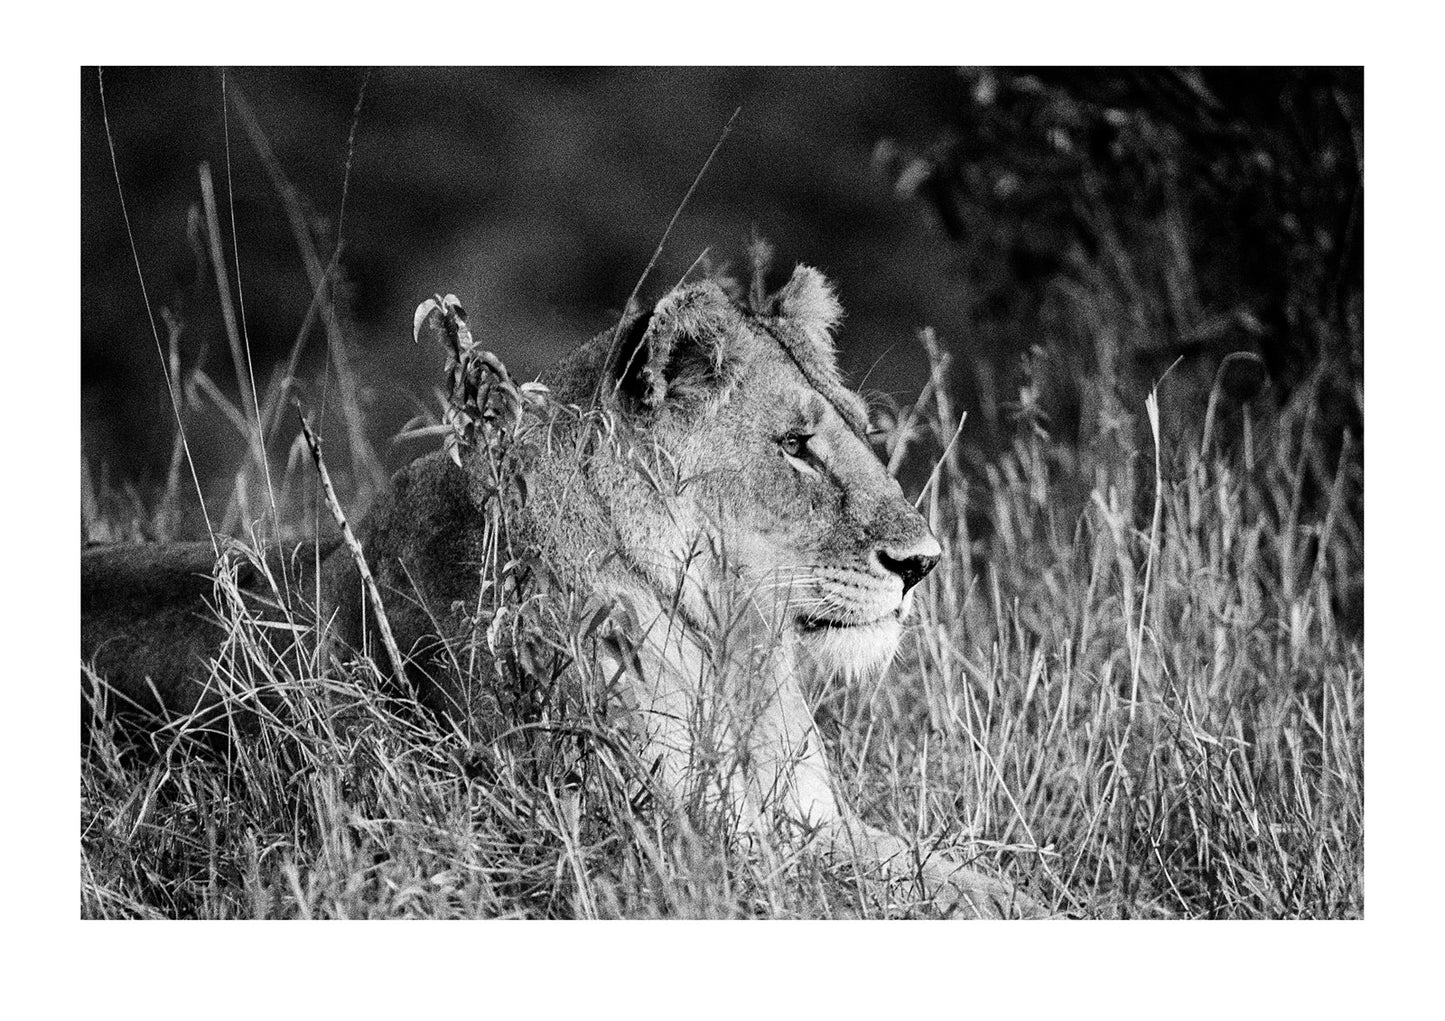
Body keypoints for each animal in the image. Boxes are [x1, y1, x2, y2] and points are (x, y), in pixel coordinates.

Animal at [81, 265, 1046, 918]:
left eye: (855, 429)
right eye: (793, 446)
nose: (921, 561)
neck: (728, 651)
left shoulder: (814, 817)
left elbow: (971, 875)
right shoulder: (661, 839)